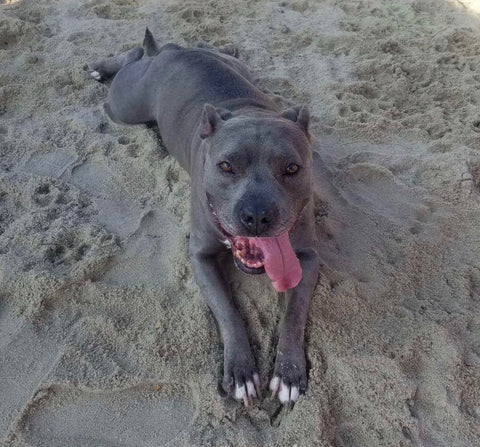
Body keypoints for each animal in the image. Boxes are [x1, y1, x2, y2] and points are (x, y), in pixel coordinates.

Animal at [89, 29, 318, 408]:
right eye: (226, 166)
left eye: (292, 168)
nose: (257, 215)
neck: (248, 112)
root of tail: (172, 52)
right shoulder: (200, 256)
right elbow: (228, 311)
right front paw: (241, 370)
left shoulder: (309, 258)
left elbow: (295, 314)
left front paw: (288, 371)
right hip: (125, 103)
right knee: (132, 57)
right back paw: (102, 66)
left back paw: (220, 46)